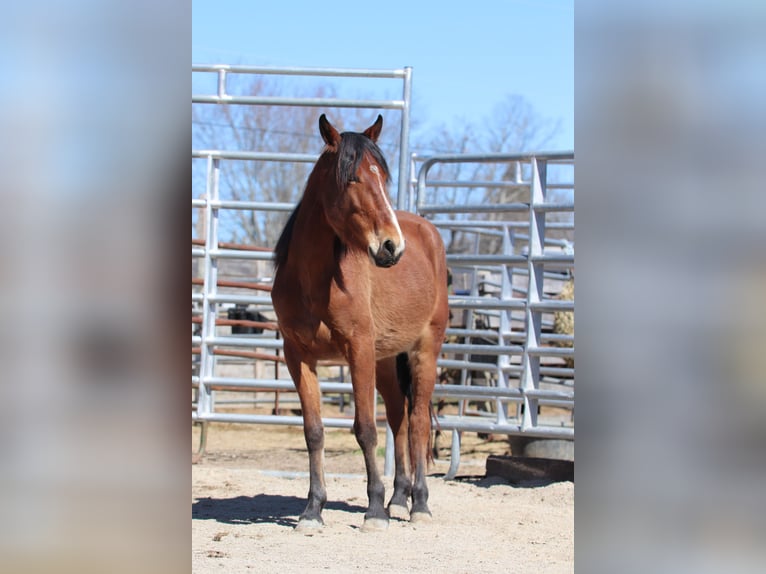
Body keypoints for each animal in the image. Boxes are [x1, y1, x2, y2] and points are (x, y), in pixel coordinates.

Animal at [272, 115, 450, 532]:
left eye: (382, 178)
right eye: (351, 178)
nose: (391, 247)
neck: (316, 281)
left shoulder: (358, 351)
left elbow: (366, 430)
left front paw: (373, 511)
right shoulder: (298, 357)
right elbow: (314, 432)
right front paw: (313, 510)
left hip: (423, 352)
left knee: (417, 421)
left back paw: (418, 505)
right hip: (385, 362)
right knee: (399, 419)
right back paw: (399, 499)